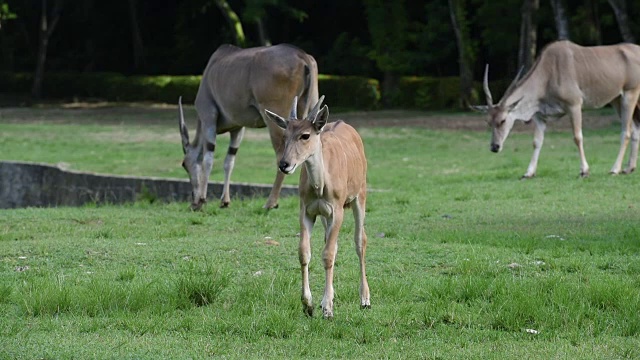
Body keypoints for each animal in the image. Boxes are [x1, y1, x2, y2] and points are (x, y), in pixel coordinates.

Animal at [264, 95, 370, 318]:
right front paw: (309, 304)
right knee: (332, 244)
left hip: (360, 195)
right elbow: (305, 252)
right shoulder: (307, 210)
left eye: (305, 135)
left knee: (360, 241)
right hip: (325, 215)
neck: (321, 186)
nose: (284, 164)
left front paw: (328, 309)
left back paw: (365, 299)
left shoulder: (337, 210)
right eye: (285, 135)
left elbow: (328, 254)